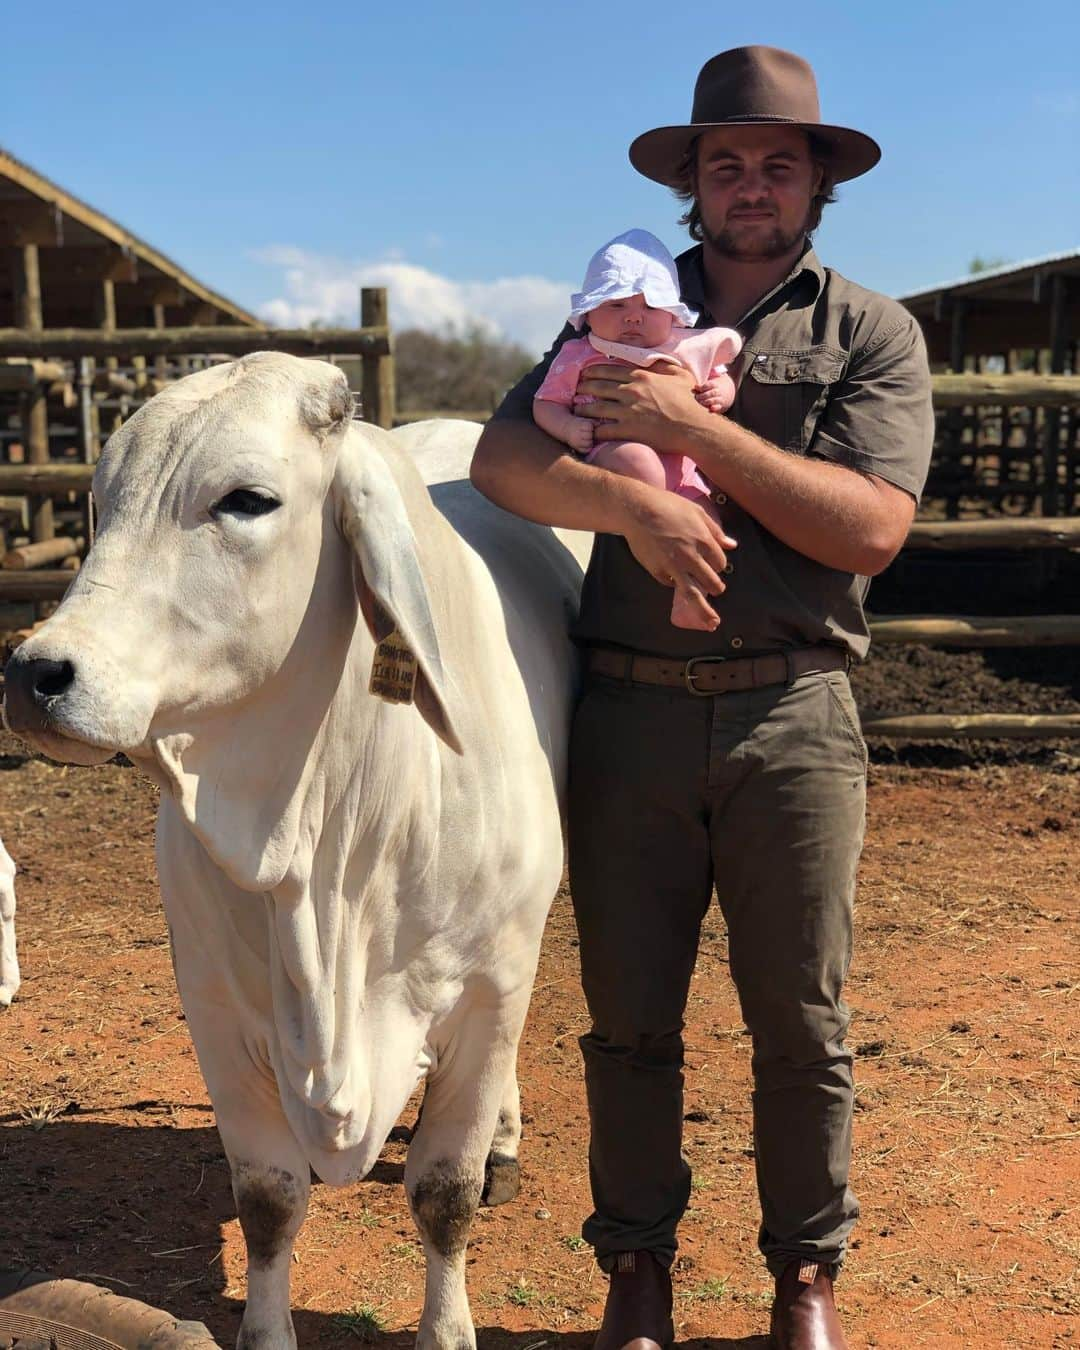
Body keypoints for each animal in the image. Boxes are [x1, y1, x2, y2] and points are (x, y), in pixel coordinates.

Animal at [4, 351, 591, 1350]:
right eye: (99, 501)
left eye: (246, 500)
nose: (36, 673)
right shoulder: (213, 1008)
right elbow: (270, 1201)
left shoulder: (488, 992)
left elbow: (445, 1194)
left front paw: (447, 1324)